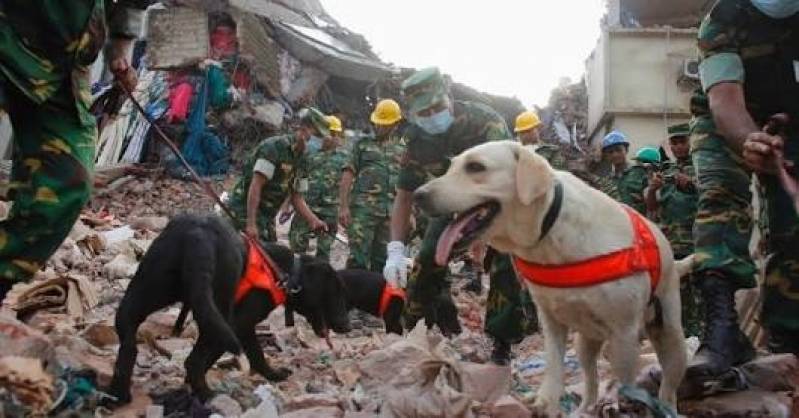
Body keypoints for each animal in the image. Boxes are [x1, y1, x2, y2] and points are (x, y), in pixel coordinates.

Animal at [108, 214, 352, 404]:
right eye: (337, 292)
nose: (348, 327)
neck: (287, 272)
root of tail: (199, 234)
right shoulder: (240, 324)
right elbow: (254, 354)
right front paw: (273, 375)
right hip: (219, 312)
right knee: (193, 361)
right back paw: (207, 396)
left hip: (147, 293)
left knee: (128, 342)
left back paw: (118, 394)